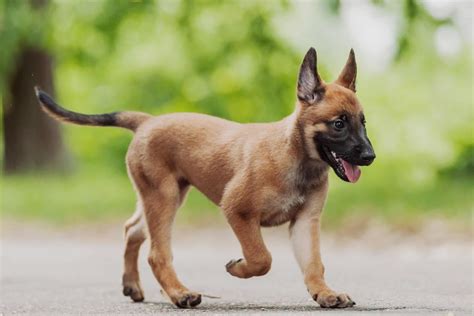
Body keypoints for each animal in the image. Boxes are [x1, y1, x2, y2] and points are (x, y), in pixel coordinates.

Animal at [34, 47, 374, 308]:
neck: (295, 155)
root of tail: (147, 121)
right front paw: (239, 268)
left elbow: (314, 263)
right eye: (339, 123)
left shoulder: (305, 222)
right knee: (157, 253)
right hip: (164, 199)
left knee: (133, 230)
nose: (370, 156)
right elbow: (262, 258)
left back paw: (133, 286)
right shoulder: (237, 210)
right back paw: (179, 294)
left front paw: (325, 293)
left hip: (160, 198)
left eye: (363, 122)